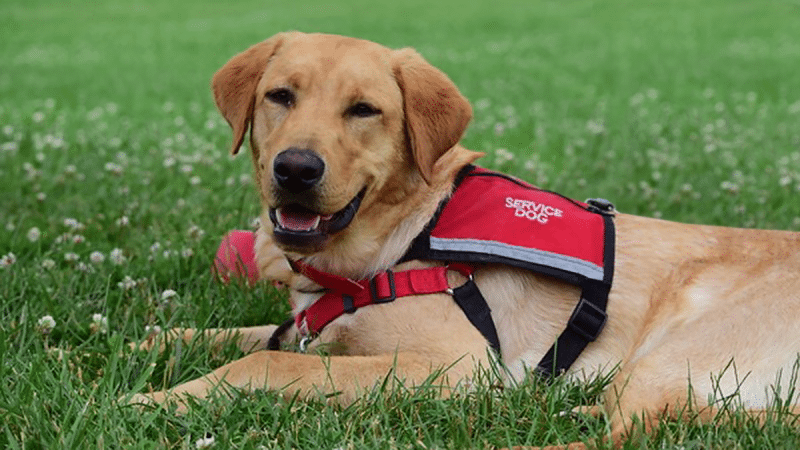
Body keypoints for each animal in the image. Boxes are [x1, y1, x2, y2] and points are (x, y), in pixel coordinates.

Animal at [128, 30, 800, 446]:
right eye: (280, 96)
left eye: (364, 110)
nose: (295, 168)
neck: (411, 234)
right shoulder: (305, 327)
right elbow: (209, 336)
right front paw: (122, 350)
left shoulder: (455, 364)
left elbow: (267, 362)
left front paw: (151, 401)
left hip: (667, 358)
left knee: (624, 433)